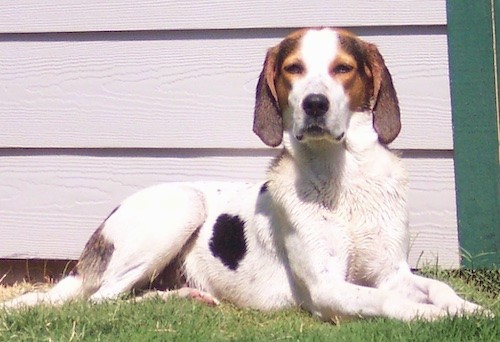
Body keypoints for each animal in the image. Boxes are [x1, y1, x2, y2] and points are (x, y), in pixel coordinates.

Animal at [1, 28, 486, 322]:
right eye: (293, 69)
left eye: (343, 69)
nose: (314, 104)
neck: (344, 177)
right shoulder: (328, 287)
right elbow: (390, 301)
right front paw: (435, 318)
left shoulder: (391, 270)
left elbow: (438, 287)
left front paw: (469, 309)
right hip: (183, 204)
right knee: (102, 299)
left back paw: (187, 295)